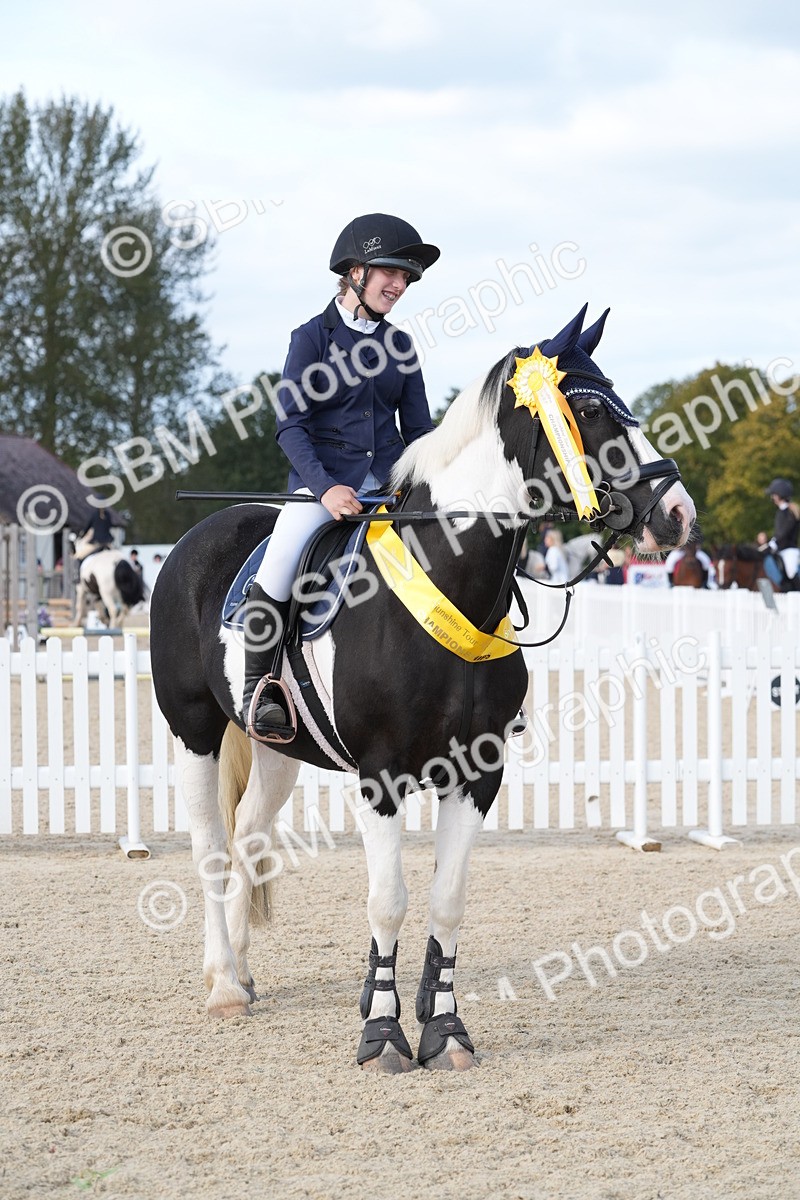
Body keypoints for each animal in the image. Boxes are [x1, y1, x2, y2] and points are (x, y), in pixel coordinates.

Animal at [149, 305, 695, 1073]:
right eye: (587, 409)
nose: (677, 513)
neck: (447, 575)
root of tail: (196, 539)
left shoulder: (477, 772)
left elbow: (447, 900)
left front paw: (446, 1032)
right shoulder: (381, 774)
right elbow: (389, 901)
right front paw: (382, 1034)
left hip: (278, 745)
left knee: (251, 836)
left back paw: (247, 974)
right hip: (194, 730)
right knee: (212, 849)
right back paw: (225, 984)